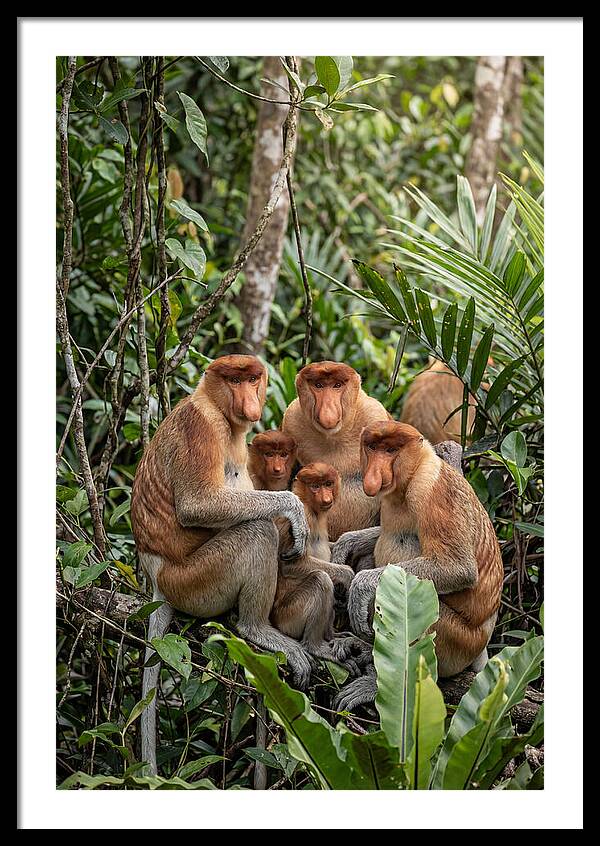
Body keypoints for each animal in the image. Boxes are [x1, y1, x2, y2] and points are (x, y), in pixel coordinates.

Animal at [131, 354, 313, 774]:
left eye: (252, 379)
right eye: (233, 380)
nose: (249, 401)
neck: (215, 405)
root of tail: (157, 579)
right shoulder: (202, 427)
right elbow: (199, 505)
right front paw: (294, 510)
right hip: (195, 581)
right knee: (256, 531)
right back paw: (255, 628)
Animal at [281, 361, 390, 543]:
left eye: (337, 385)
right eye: (318, 385)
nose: (328, 411)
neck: (333, 437)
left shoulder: (374, 414)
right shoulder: (291, 420)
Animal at [330, 421, 503, 712]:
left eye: (391, 450)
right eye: (373, 447)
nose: (374, 474)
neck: (413, 473)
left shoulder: (432, 492)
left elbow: (458, 567)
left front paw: (361, 586)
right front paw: (345, 544)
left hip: (458, 642)